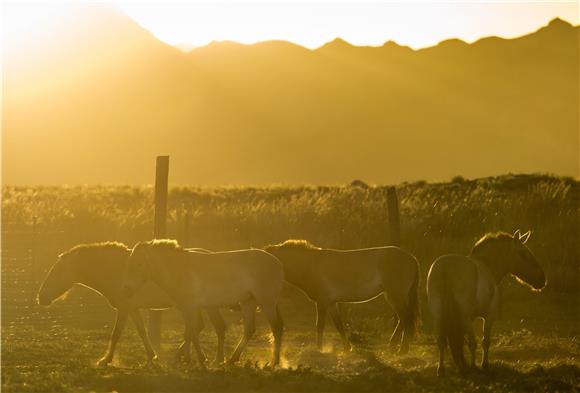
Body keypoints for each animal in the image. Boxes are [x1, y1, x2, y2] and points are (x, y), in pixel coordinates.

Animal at [36, 240, 227, 366]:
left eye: (57, 272)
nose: (41, 297)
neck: (116, 271)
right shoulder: (133, 309)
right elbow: (142, 332)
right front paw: (151, 356)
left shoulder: (124, 308)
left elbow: (116, 334)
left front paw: (105, 360)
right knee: (197, 328)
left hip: (206, 306)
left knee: (216, 327)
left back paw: (213, 359)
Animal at [123, 239, 286, 368]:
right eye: (129, 263)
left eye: (139, 264)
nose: (126, 290)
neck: (179, 269)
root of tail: (277, 263)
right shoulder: (187, 308)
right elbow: (192, 333)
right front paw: (195, 359)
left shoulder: (190, 307)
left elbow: (189, 333)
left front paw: (186, 360)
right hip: (248, 302)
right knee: (249, 330)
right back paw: (231, 360)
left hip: (267, 302)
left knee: (276, 328)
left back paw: (273, 363)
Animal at [262, 239, 416, 352]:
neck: (311, 265)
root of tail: (411, 258)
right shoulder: (331, 303)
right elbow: (339, 324)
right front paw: (347, 348)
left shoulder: (322, 302)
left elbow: (320, 325)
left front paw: (319, 349)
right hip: (393, 296)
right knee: (404, 319)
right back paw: (394, 345)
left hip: (395, 295)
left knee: (405, 318)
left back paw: (402, 349)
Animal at [426, 230, 544, 376]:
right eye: (523, 253)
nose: (542, 279)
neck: (488, 266)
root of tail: (445, 268)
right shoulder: (489, 316)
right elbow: (485, 341)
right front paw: (484, 365)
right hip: (464, 318)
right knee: (472, 342)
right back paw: (472, 368)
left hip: (438, 316)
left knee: (441, 341)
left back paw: (442, 370)